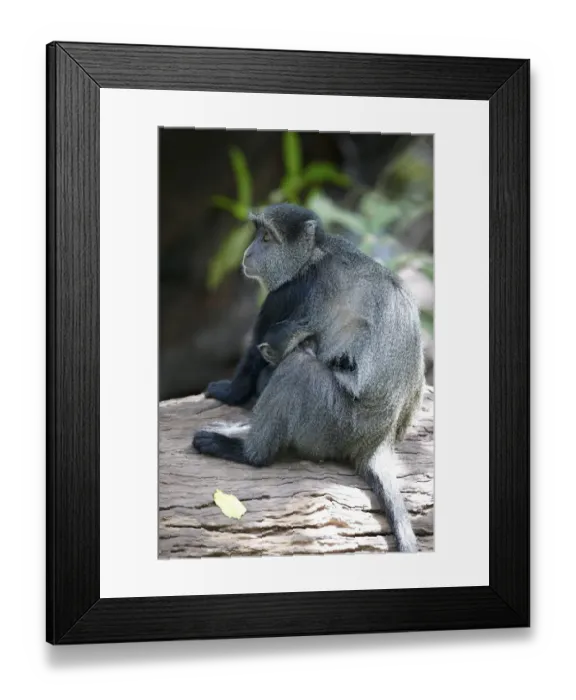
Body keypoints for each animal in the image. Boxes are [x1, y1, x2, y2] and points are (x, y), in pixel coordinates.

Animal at [195, 203, 425, 553]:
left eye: (267, 237)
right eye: (257, 234)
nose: (248, 252)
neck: (316, 251)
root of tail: (379, 441)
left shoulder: (290, 291)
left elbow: (256, 353)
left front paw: (229, 392)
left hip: (335, 424)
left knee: (297, 369)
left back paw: (247, 452)